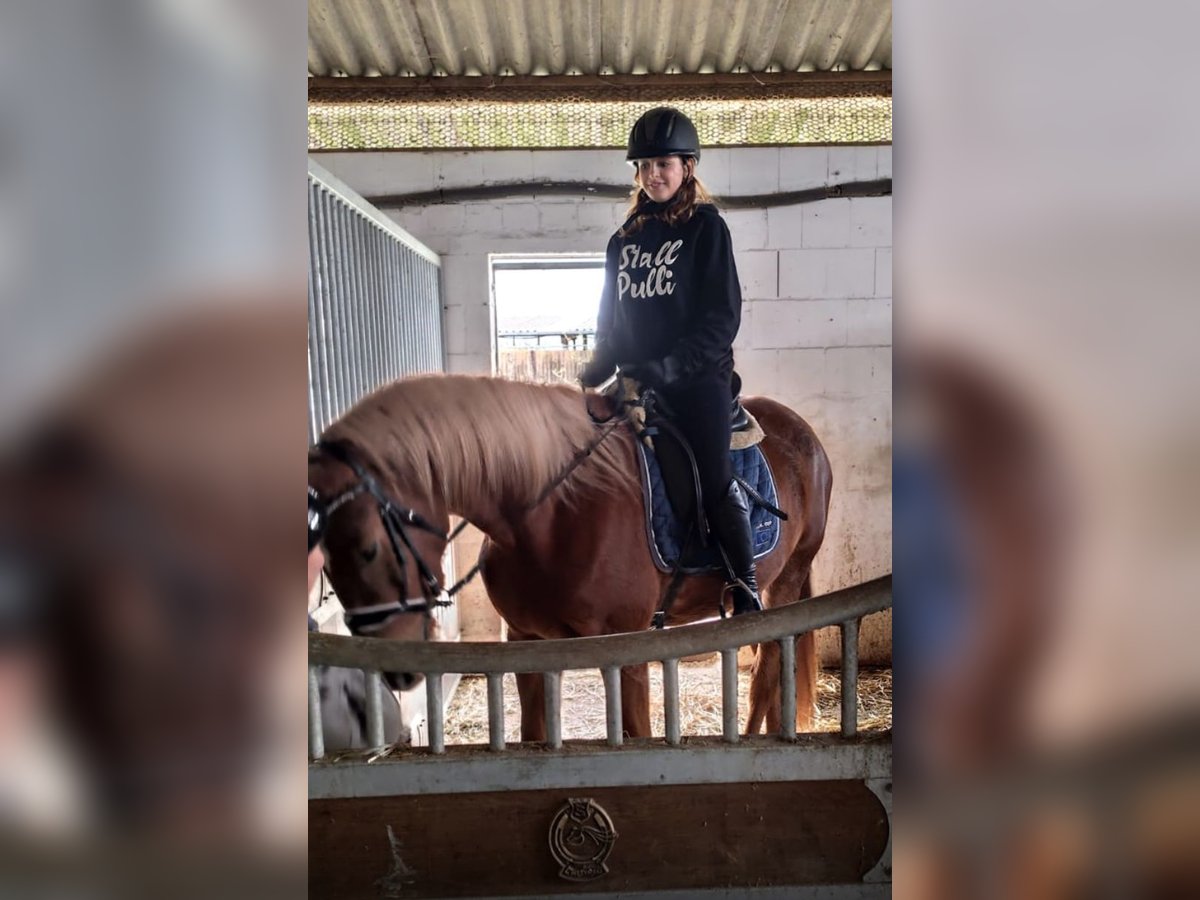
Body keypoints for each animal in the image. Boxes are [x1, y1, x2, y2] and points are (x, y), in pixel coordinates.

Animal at [309, 374, 830, 739]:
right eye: (324, 566)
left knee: (766, 672)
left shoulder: (628, 649)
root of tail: (804, 434)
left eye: (368, 548)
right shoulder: (527, 642)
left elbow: (637, 734)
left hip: (784, 582)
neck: (556, 511)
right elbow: (533, 737)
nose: (395, 668)